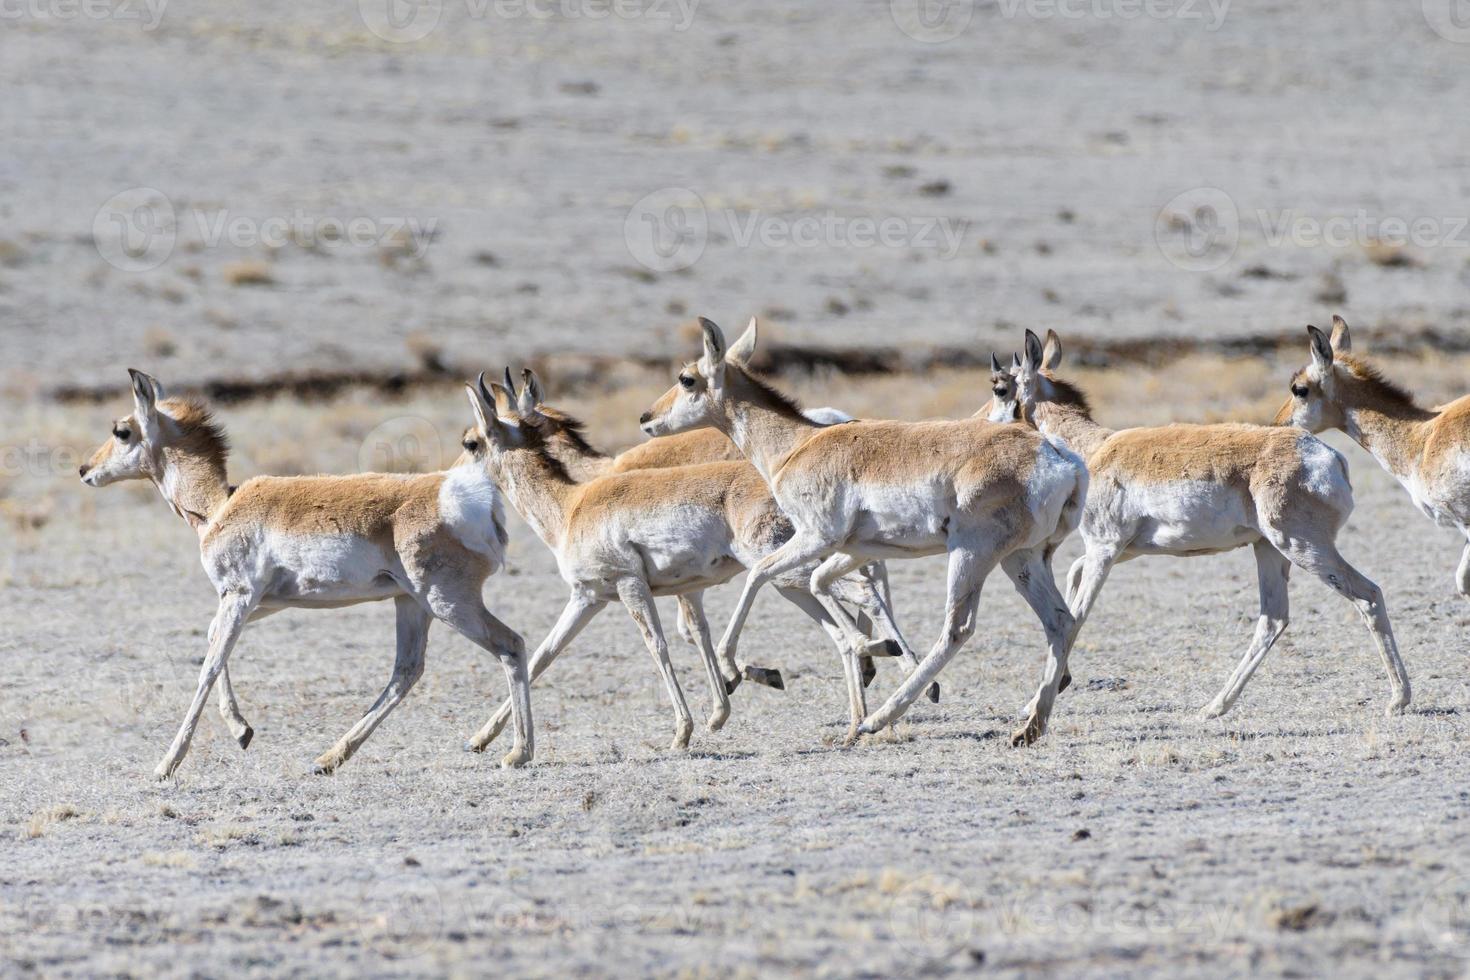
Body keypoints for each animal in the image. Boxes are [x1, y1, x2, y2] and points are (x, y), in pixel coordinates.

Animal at [76, 371, 535, 775]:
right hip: (412, 603)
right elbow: (211, 640)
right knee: (406, 672)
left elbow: (209, 665)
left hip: (448, 602)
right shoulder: (263, 602)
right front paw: (241, 731)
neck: (221, 506)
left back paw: (518, 753)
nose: (84, 470)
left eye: (122, 430)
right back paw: (330, 758)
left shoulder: (239, 596)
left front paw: (167, 763)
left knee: (510, 645)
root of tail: (464, 494)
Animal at [458, 379, 917, 758]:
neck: (571, 505)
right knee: (847, 619)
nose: (453, 480)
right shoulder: (588, 598)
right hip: (793, 577)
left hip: (786, 570)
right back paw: (862, 716)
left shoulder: (630, 587)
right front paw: (485, 740)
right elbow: (543, 655)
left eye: (471, 443)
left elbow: (658, 647)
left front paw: (684, 732)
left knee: (859, 593)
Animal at [637, 320, 1087, 743]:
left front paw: (737, 669)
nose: (646, 418)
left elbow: (758, 576)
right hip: (1021, 559)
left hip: (971, 555)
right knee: (1060, 621)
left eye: (687, 378)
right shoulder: (854, 550)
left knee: (958, 628)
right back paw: (1028, 728)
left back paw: (879, 719)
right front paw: (870, 648)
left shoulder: (815, 537)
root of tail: (1055, 454)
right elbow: (823, 583)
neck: (798, 446)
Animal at [1005, 326, 1405, 717]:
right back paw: (1215, 706)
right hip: (1270, 551)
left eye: (1002, 387)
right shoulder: (1122, 551)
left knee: (1368, 596)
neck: (1096, 448)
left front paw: (1032, 705)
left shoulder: (1105, 549)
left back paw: (1399, 698)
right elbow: (1072, 582)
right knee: (1273, 620)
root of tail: (1327, 455)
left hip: (1304, 548)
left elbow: (1078, 614)